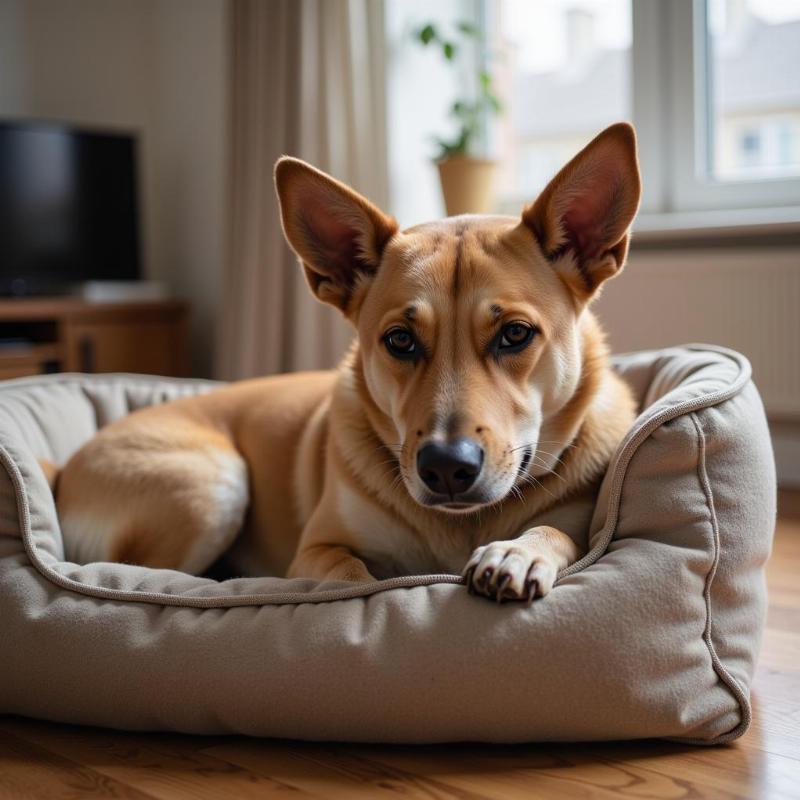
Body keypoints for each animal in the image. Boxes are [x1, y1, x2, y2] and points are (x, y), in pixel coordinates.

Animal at [54, 123, 644, 600]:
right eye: (401, 341)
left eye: (515, 334)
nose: (445, 467)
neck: (461, 526)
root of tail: (60, 468)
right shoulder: (316, 550)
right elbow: (351, 579)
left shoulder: (578, 525)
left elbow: (556, 532)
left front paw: (517, 552)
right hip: (211, 484)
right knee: (140, 571)